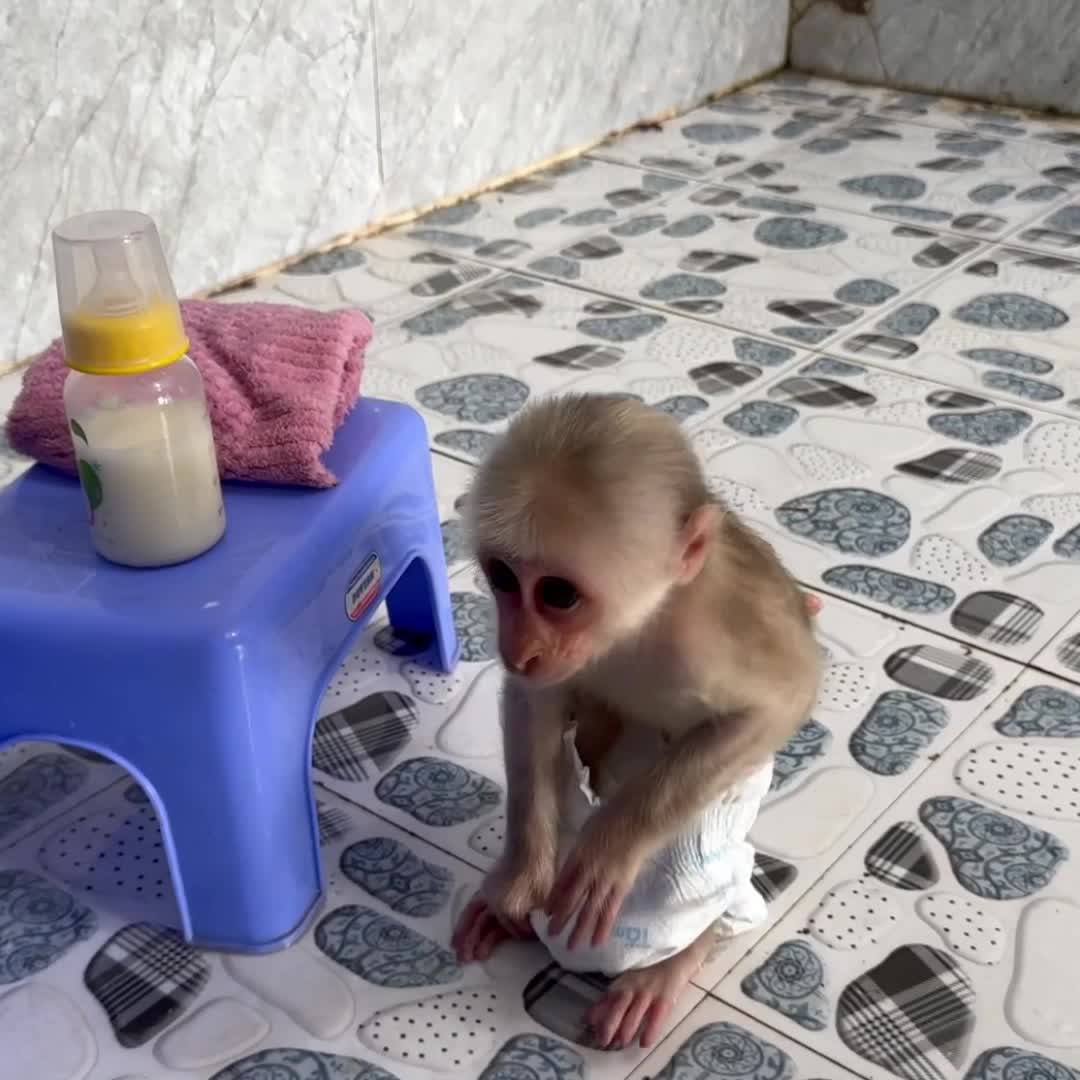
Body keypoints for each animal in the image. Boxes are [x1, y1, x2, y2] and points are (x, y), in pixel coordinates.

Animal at [451, 393, 822, 1051]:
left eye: (558, 595)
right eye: (502, 579)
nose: (517, 645)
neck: (639, 623)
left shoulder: (713, 632)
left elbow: (781, 700)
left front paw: (612, 846)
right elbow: (533, 700)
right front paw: (519, 878)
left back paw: (678, 955)